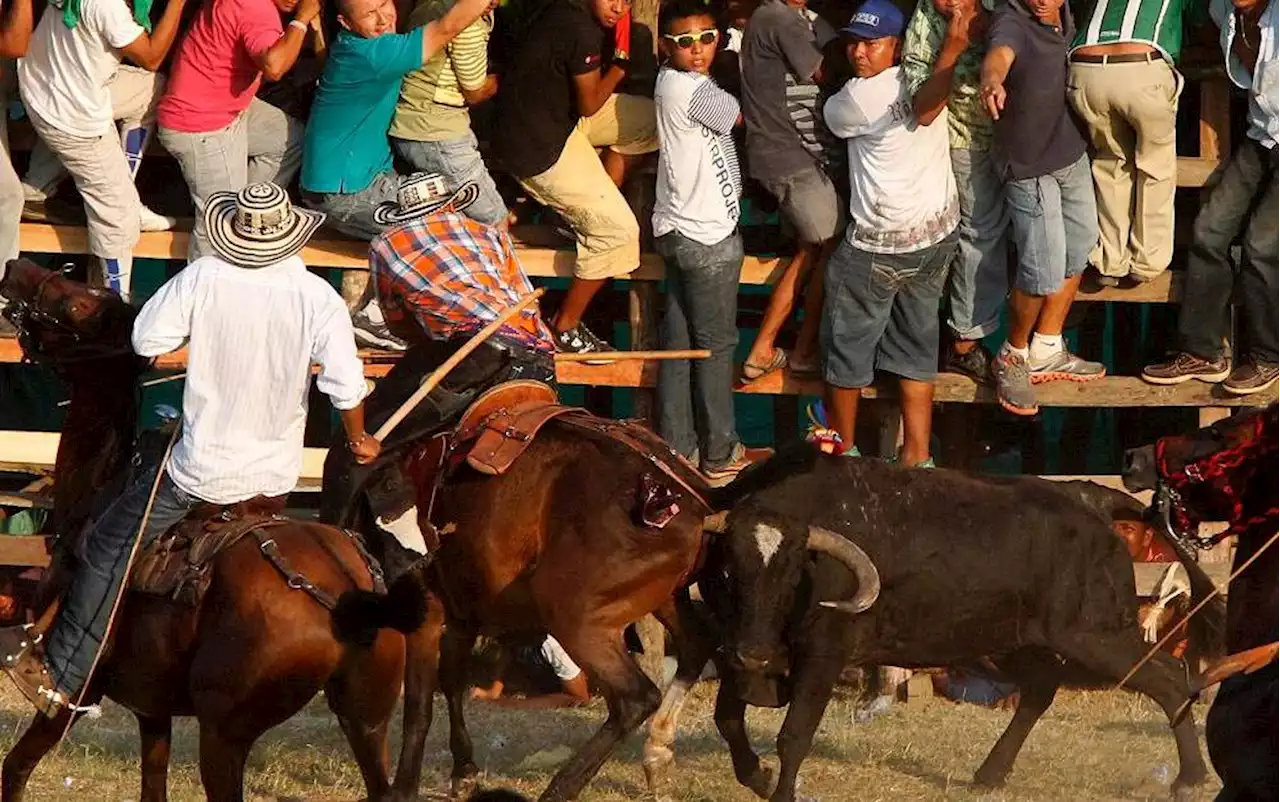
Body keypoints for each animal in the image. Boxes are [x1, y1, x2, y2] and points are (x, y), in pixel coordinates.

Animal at [0, 260, 419, 798]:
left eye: (78, 305)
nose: (17, 268)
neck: (96, 487)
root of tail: (351, 594)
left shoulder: (73, 698)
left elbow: (15, 768)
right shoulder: (153, 710)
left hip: (224, 735)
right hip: (367, 721)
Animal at [660, 447, 1208, 802]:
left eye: (793, 571)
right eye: (728, 570)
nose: (754, 654)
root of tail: (1089, 500)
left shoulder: (822, 659)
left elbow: (794, 736)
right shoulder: (737, 649)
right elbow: (729, 720)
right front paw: (756, 775)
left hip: (1097, 636)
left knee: (1169, 680)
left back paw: (1191, 778)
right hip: (1009, 642)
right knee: (1041, 689)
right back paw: (990, 773)